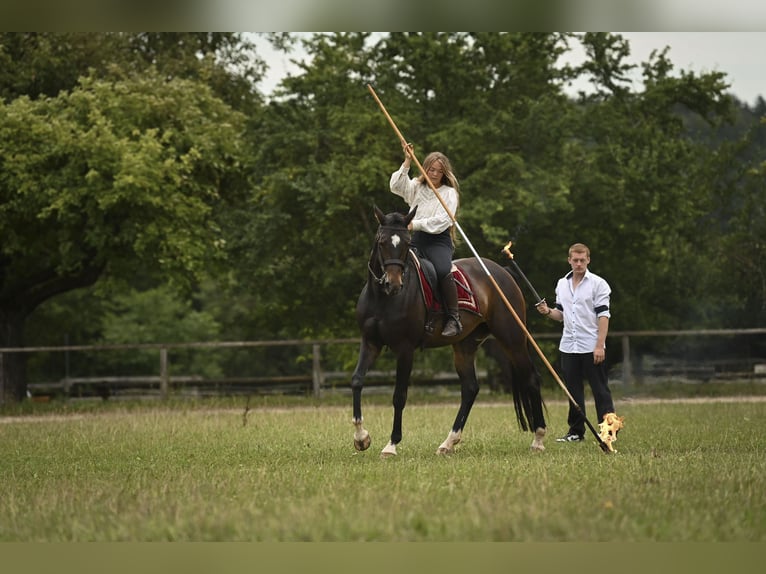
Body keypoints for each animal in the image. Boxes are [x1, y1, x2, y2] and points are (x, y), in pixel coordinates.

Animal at [352, 207, 548, 460]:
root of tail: (501, 273)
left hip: (512, 338)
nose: (393, 284)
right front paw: (361, 438)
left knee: (531, 378)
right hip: (465, 346)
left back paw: (538, 439)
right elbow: (357, 380)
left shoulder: (405, 349)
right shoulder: (370, 343)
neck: (382, 299)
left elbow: (399, 395)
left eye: (406, 243)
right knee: (471, 389)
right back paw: (449, 442)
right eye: (382, 241)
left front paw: (391, 445)